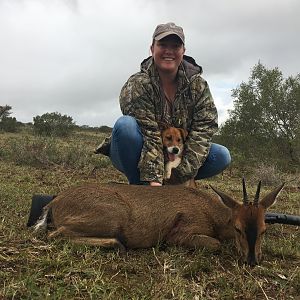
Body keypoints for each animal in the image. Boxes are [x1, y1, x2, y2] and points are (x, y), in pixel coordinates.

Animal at [34, 179, 284, 266]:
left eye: (263, 229)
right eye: (238, 228)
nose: (252, 261)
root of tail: (55, 201)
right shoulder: (179, 234)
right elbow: (216, 244)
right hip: (113, 216)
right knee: (56, 234)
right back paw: (118, 245)